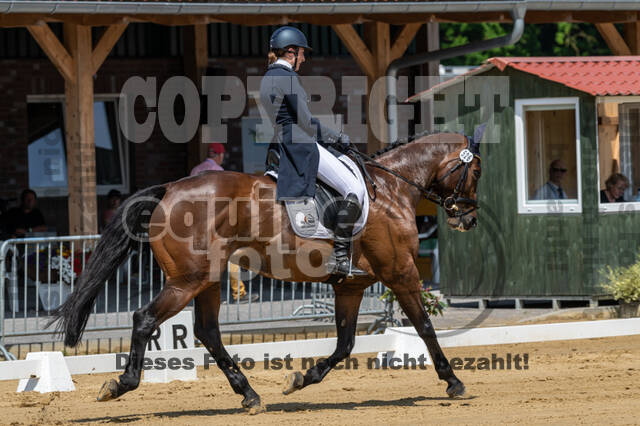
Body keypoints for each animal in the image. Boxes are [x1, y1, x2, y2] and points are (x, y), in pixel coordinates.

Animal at [51, 131, 481, 413]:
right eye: (476, 172)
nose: (469, 219)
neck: (391, 190)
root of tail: (170, 189)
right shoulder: (402, 273)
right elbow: (425, 327)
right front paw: (454, 382)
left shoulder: (351, 288)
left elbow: (345, 345)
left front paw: (301, 379)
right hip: (187, 280)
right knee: (145, 319)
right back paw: (120, 385)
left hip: (207, 280)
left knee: (207, 331)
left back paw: (249, 394)